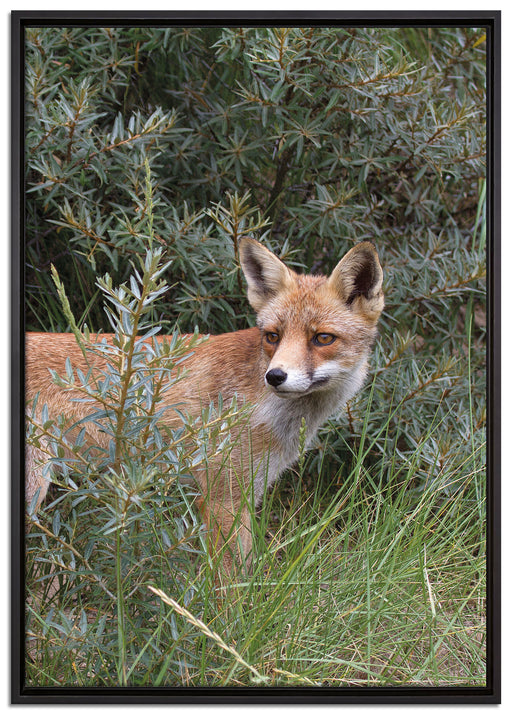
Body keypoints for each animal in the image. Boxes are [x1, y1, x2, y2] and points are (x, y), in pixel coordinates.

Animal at [25, 238, 384, 574]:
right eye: (273, 336)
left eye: (323, 339)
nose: (275, 376)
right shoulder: (222, 498)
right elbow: (229, 584)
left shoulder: (246, 493)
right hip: (34, 491)